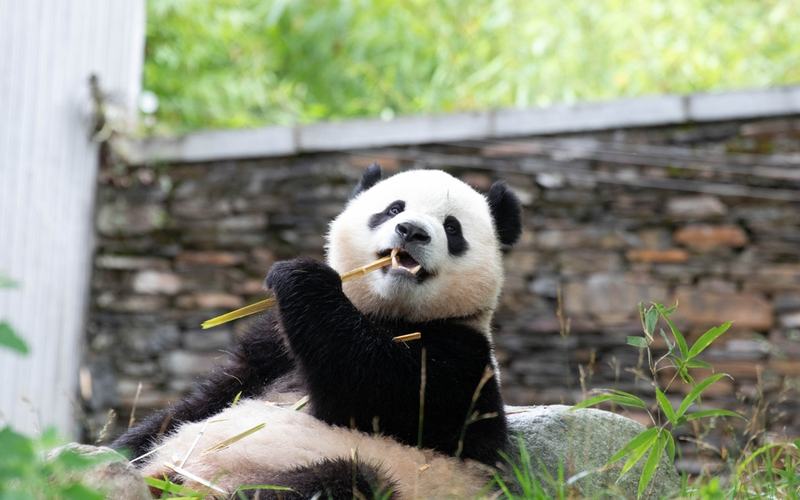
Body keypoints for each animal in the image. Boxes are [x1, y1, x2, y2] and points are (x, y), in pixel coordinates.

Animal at [113, 165, 523, 498]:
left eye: (452, 227)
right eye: (394, 209)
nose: (412, 231)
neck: (391, 314)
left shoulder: (463, 359)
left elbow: (380, 388)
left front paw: (302, 275)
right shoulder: (271, 346)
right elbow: (212, 395)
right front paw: (118, 447)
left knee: (345, 481)